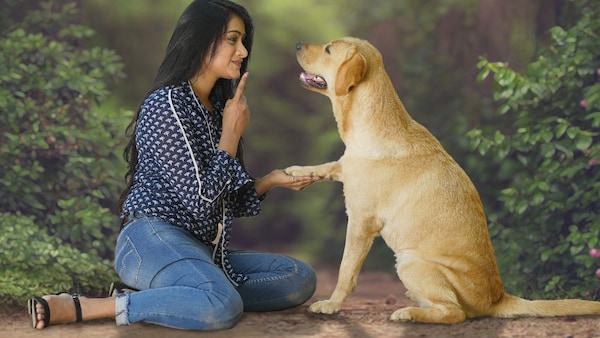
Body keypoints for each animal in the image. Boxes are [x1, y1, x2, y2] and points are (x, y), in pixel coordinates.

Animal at [284, 35, 600, 324]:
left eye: (328, 49)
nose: (297, 44)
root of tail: (498, 298)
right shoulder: (346, 167)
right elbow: (329, 166)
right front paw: (296, 171)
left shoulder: (361, 222)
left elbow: (346, 270)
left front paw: (331, 304)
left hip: (410, 262)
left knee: (453, 312)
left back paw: (409, 313)